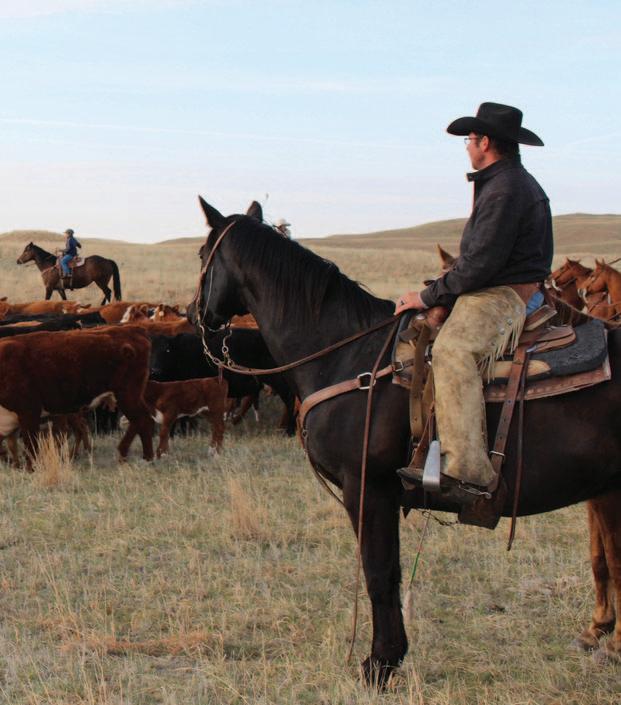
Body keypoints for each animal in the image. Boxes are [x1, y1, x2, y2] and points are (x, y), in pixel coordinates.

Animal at [0, 325, 154, 466]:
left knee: (142, 419)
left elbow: (31, 445)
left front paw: (30, 468)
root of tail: (132, 330)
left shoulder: (29, 412)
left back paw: (144, 457)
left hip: (127, 395)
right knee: (139, 420)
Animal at [190, 197, 621, 687]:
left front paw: (380, 664)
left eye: (203, 255)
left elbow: (379, 573)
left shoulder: (368, 487)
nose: (194, 315)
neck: (345, 354)